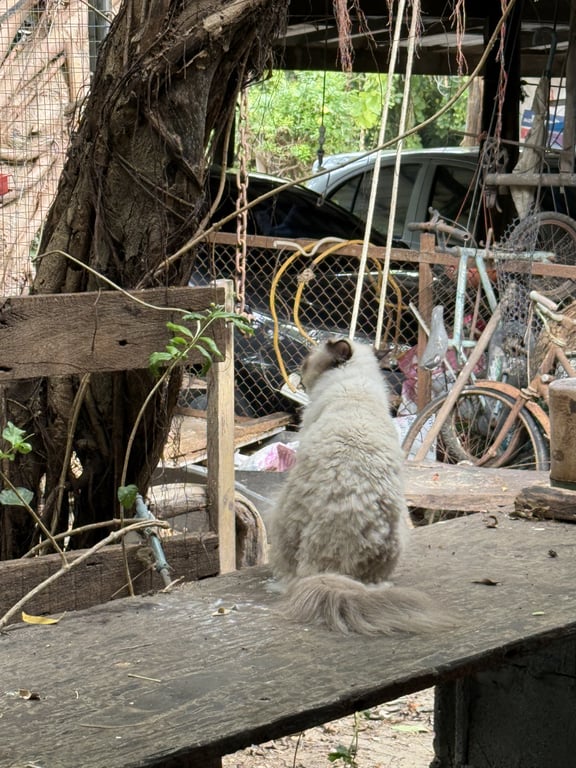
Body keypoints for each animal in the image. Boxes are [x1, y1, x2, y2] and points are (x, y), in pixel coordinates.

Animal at [269, 337, 454, 635]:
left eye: (307, 360)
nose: (299, 368)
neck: (354, 382)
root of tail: (325, 569)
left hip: (281, 513)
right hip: (399, 534)